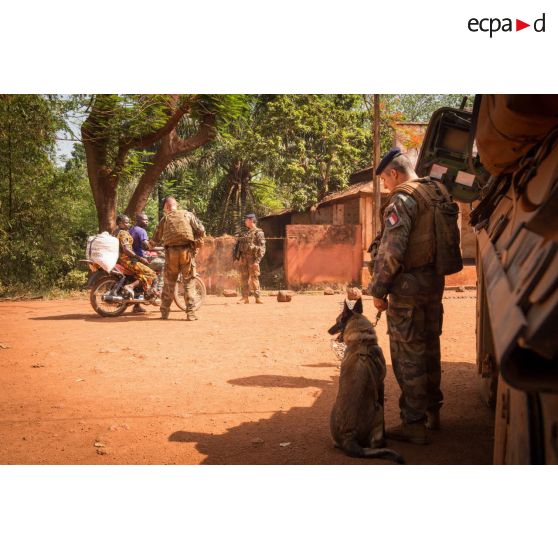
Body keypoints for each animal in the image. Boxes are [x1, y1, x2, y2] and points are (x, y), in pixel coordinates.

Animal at [328, 300, 402, 466]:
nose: (328, 330)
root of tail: (348, 435)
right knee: (374, 444)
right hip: (378, 409)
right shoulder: (381, 385)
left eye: (337, 321)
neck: (361, 340)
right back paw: (383, 443)